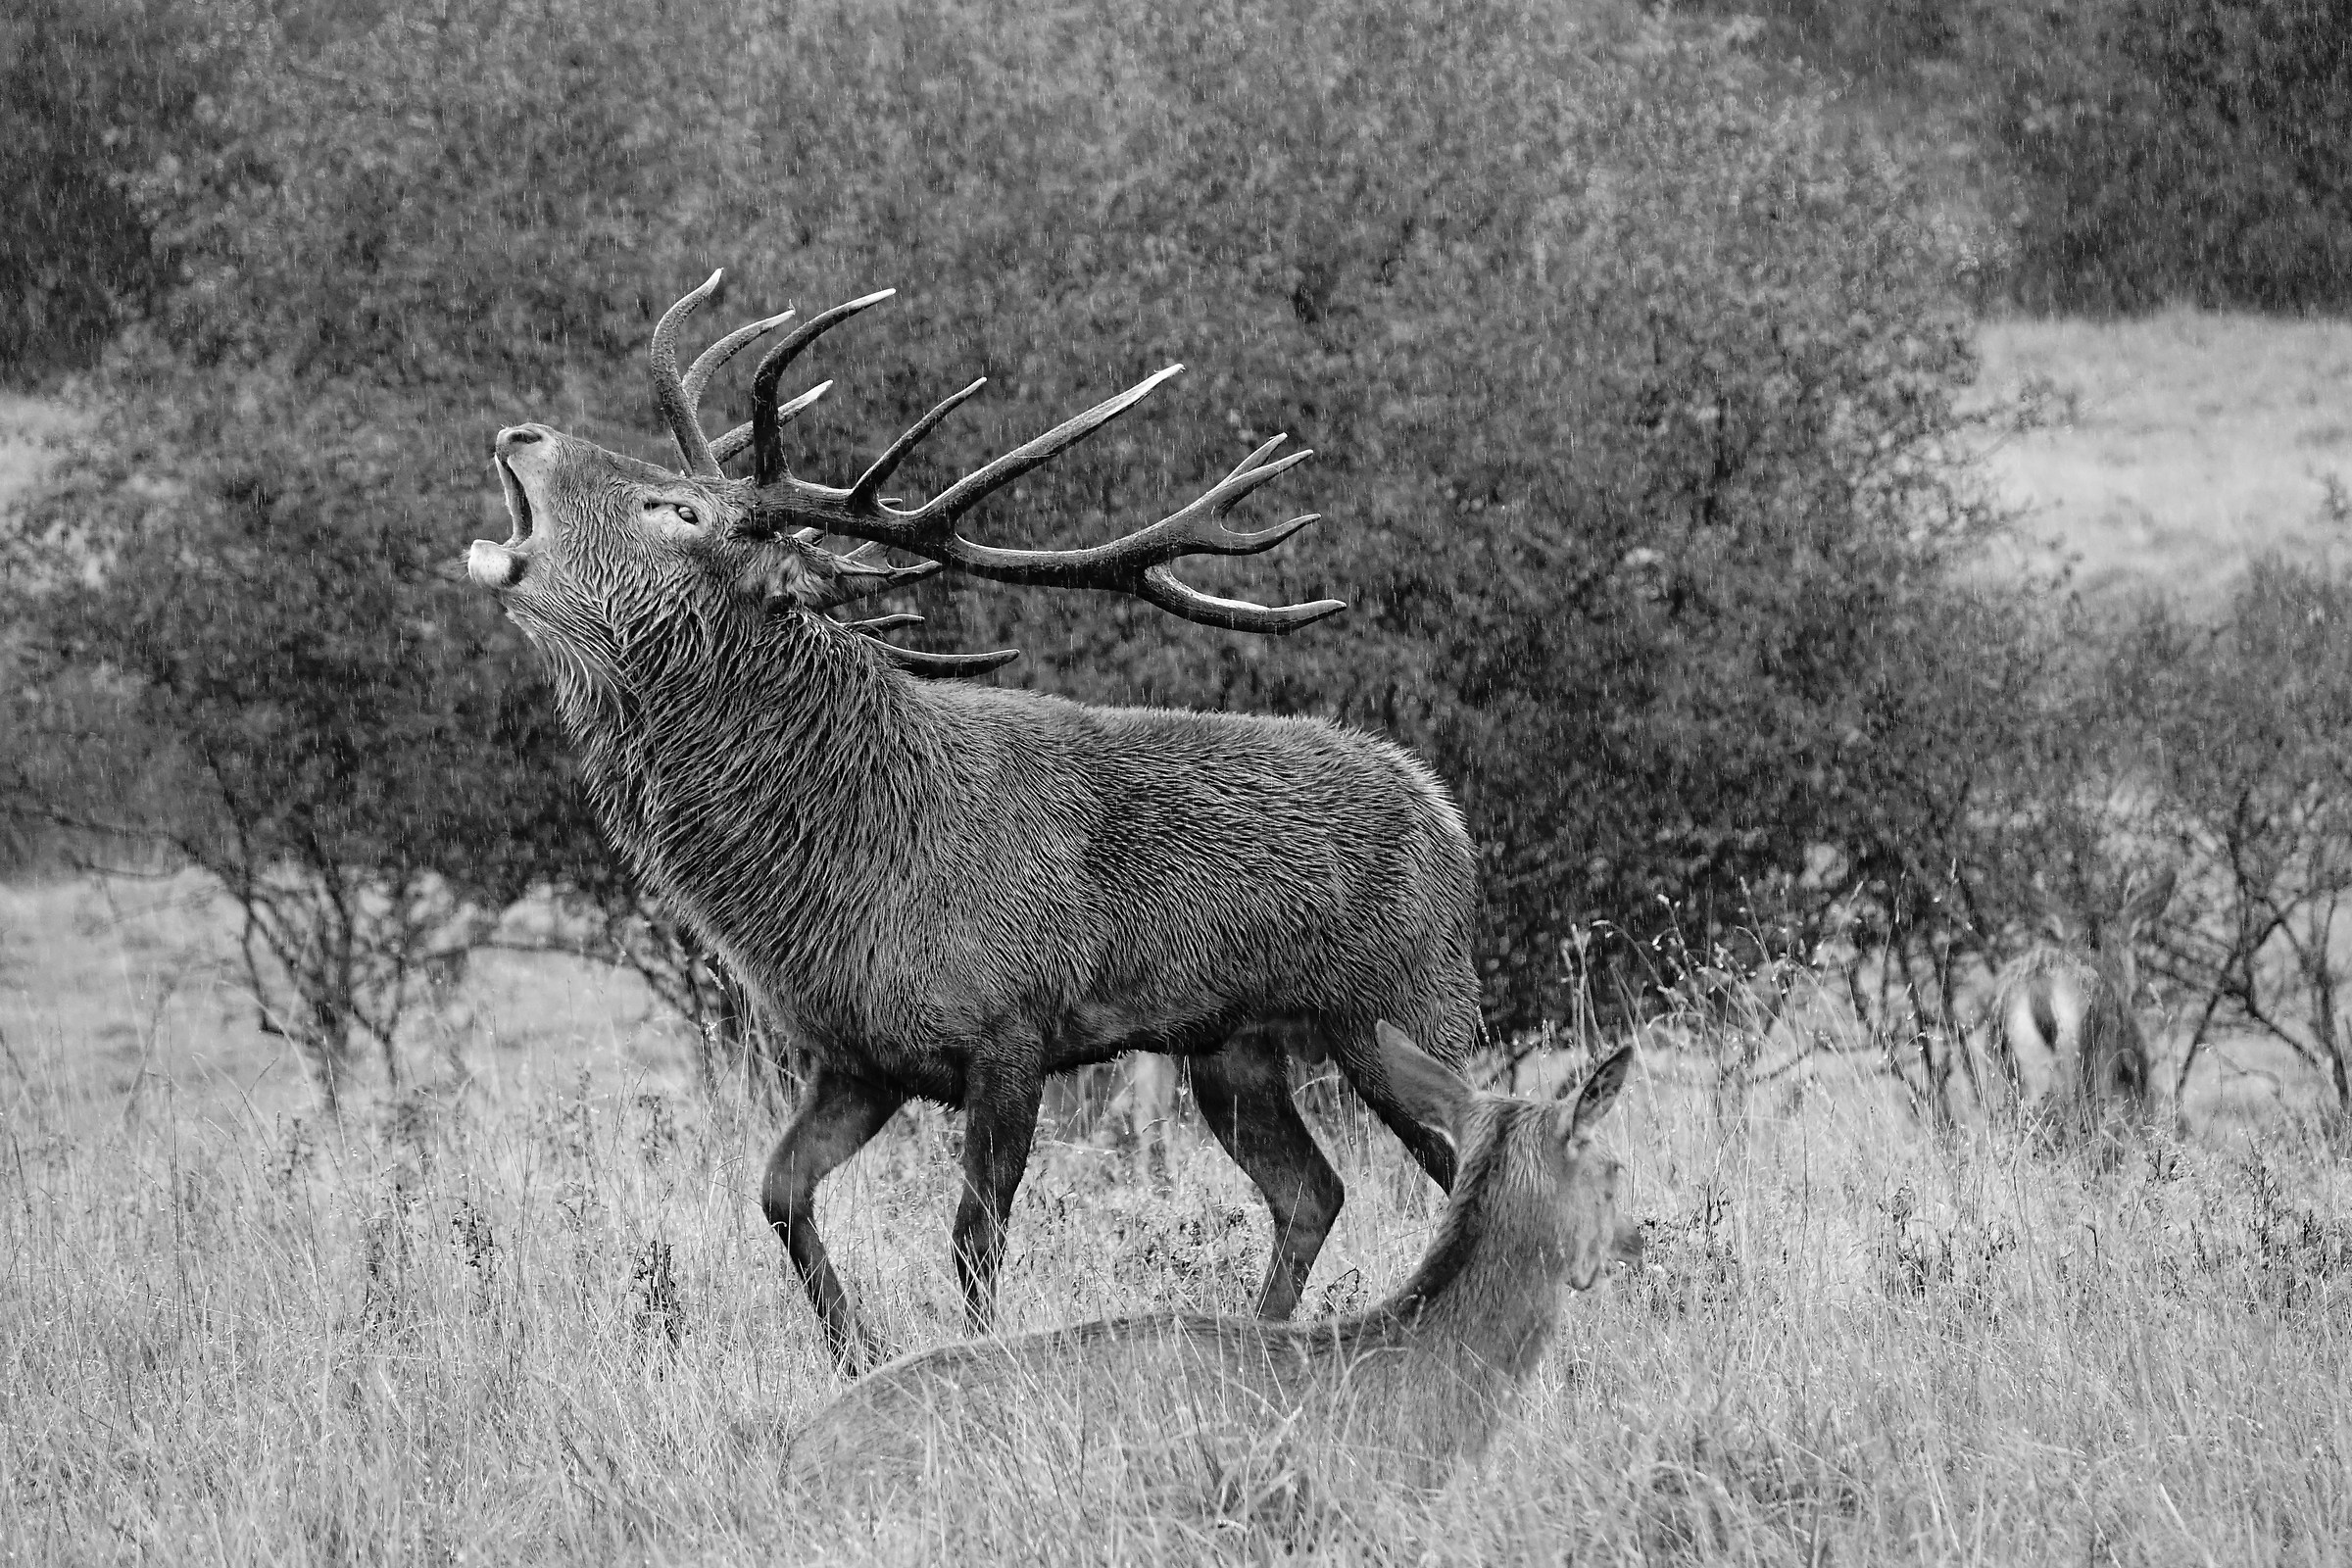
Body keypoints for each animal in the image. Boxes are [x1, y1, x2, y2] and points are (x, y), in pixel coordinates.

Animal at [465, 272, 1483, 1371]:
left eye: (680, 508)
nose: (522, 431)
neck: (838, 873)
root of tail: (1448, 818)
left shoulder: (1010, 1030)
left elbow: (973, 1240)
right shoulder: (857, 1057)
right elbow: (780, 1193)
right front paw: (857, 1354)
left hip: (1405, 1003)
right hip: (1232, 1045)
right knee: (1312, 1190)